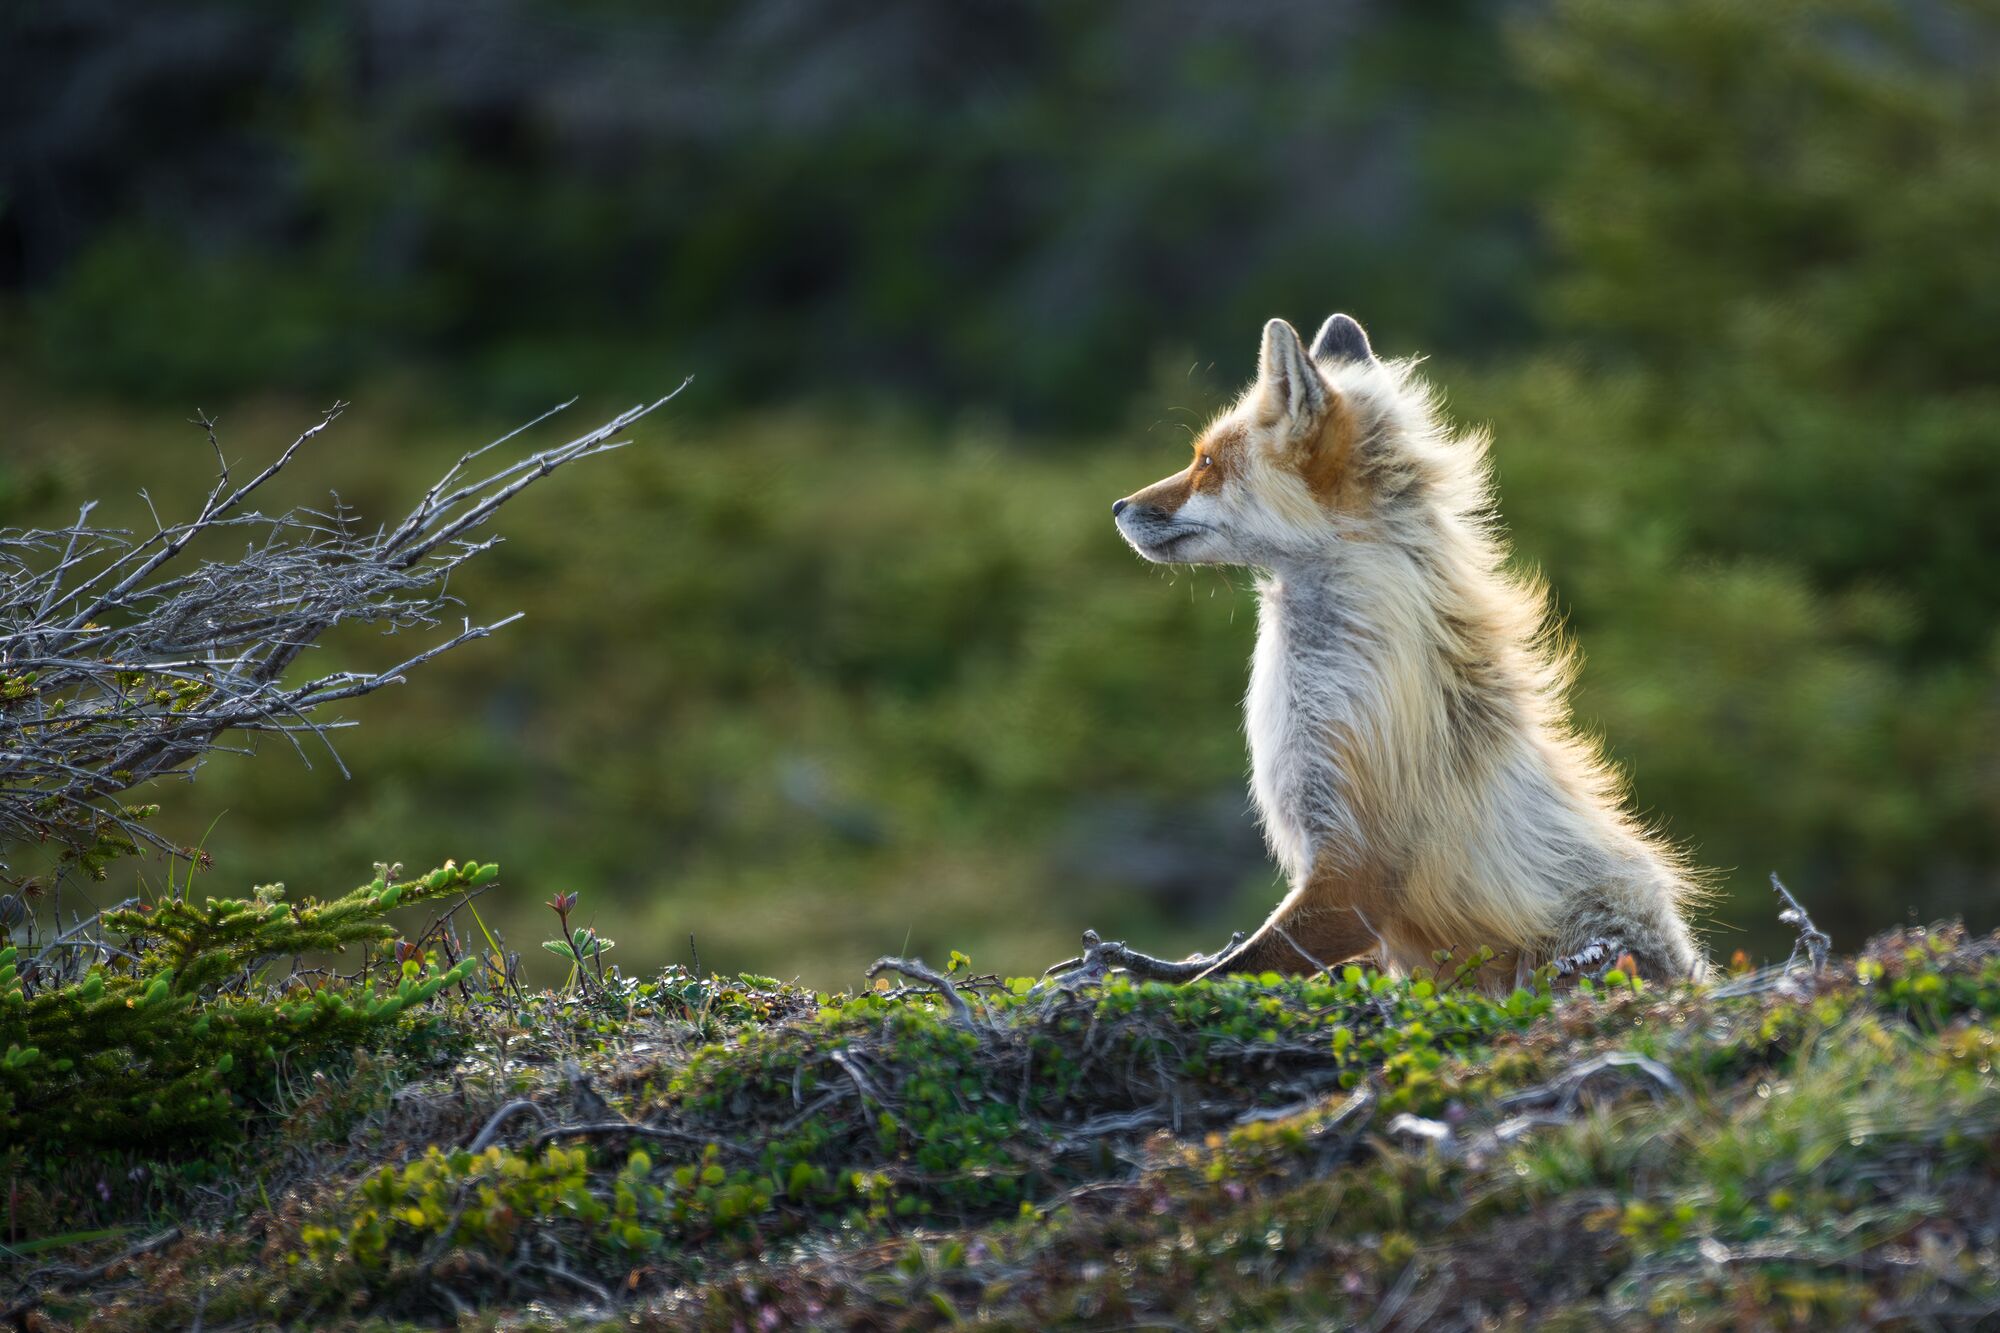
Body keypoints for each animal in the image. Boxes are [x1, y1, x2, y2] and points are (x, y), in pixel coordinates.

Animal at [1056, 314, 1706, 993]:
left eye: (1206, 463)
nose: (1118, 506)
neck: (1323, 692)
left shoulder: (1354, 872)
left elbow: (1233, 971)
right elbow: (1215, 965)